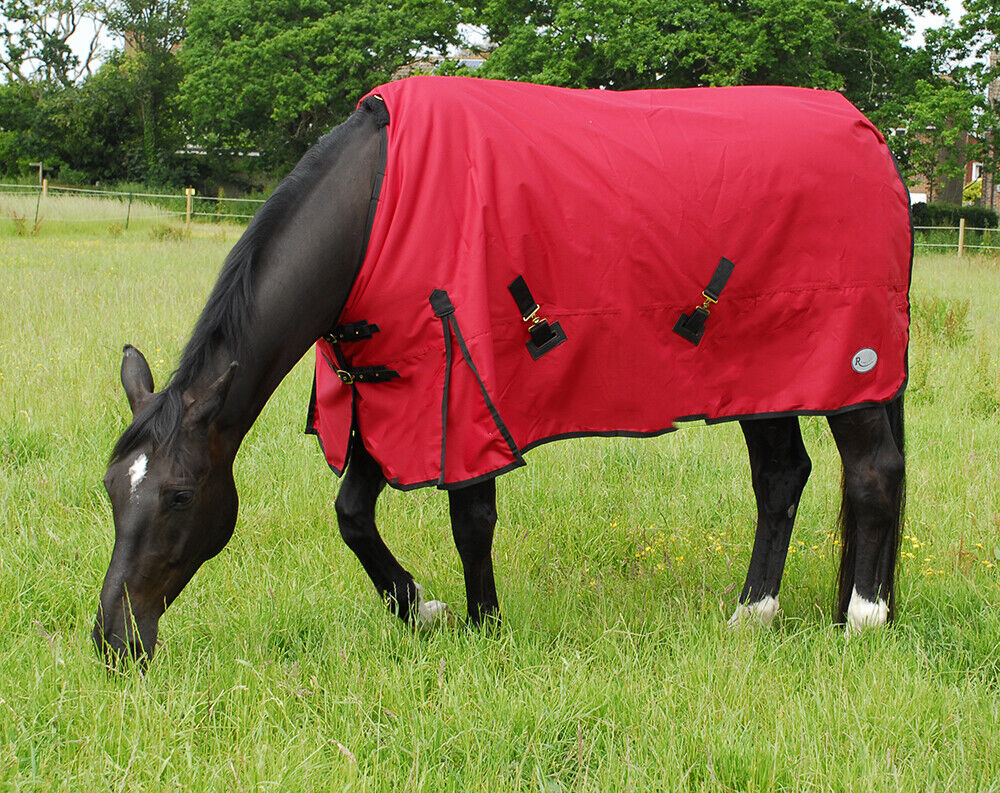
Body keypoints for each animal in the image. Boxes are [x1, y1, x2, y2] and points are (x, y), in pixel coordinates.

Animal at [94, 77, 909, 664]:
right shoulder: (386, 390)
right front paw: (419, 608)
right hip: (762, 375)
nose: (114, 642)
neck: (377, 202)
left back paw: (864, 621)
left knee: (873, 473)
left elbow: (470, 519)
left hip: (851, 371)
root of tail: (874, 138)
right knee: (782, 477)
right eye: (110, 490)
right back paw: (752, 614)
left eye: (180, 495)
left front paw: (483, 624)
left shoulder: (463, 386)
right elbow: (352, 514)